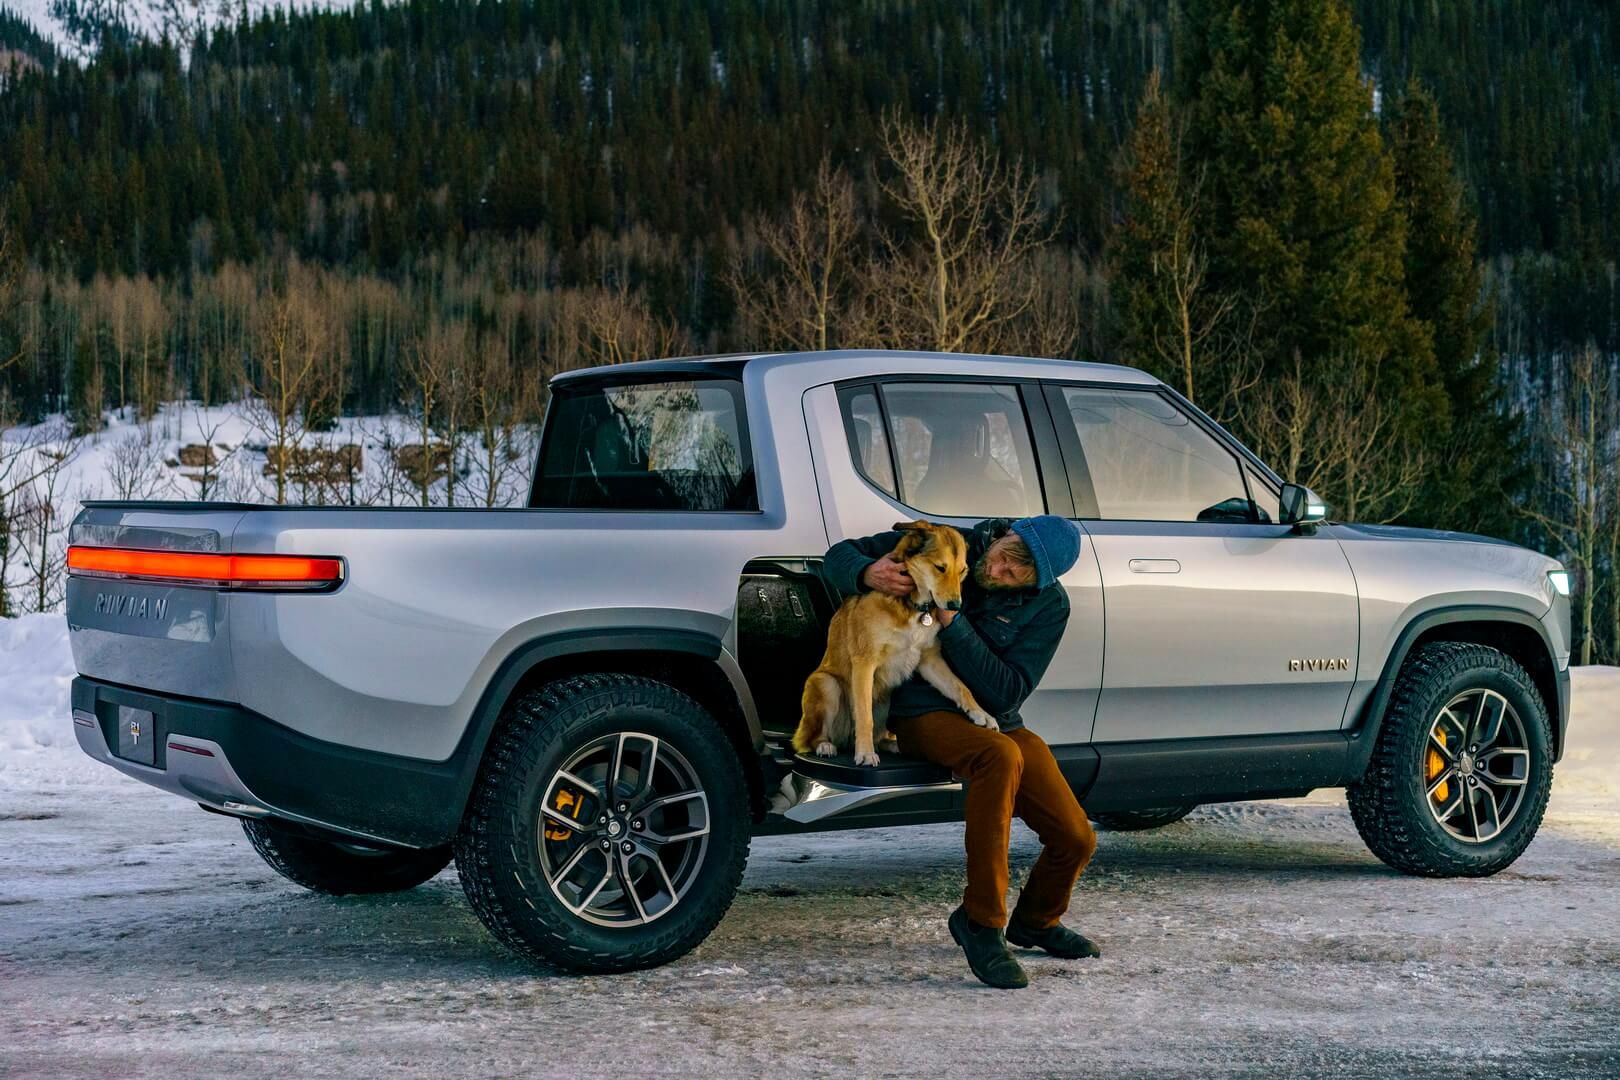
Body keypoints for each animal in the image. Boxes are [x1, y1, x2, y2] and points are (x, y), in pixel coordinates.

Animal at [787, 518, 991, 764]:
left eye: (962, 571)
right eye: (940, 568)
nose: (955, 606)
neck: (913, 606)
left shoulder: (929, 661)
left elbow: (960, 687)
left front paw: (981, 714)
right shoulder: (865, 663)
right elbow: (864, 715)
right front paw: (865, 753)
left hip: (886, 701)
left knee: (880, 737)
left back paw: (893, 745)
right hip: (826, 684)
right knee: (810, 739)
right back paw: (826, 745)